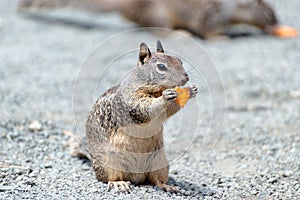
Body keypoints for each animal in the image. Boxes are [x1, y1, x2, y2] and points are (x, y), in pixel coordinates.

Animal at [83, 40, 198, 192]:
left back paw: (167, 186)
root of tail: (136, 177)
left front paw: (191, 90)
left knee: (155, 180)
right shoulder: (132, 102)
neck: (156, 90)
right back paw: (119, 183)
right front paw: (165, 97)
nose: (186, 78)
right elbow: (145, 108)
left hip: (159, 162)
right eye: (161, 66)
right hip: (110, 163)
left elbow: (170, 109)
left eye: (180, 61)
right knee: (110, 177)